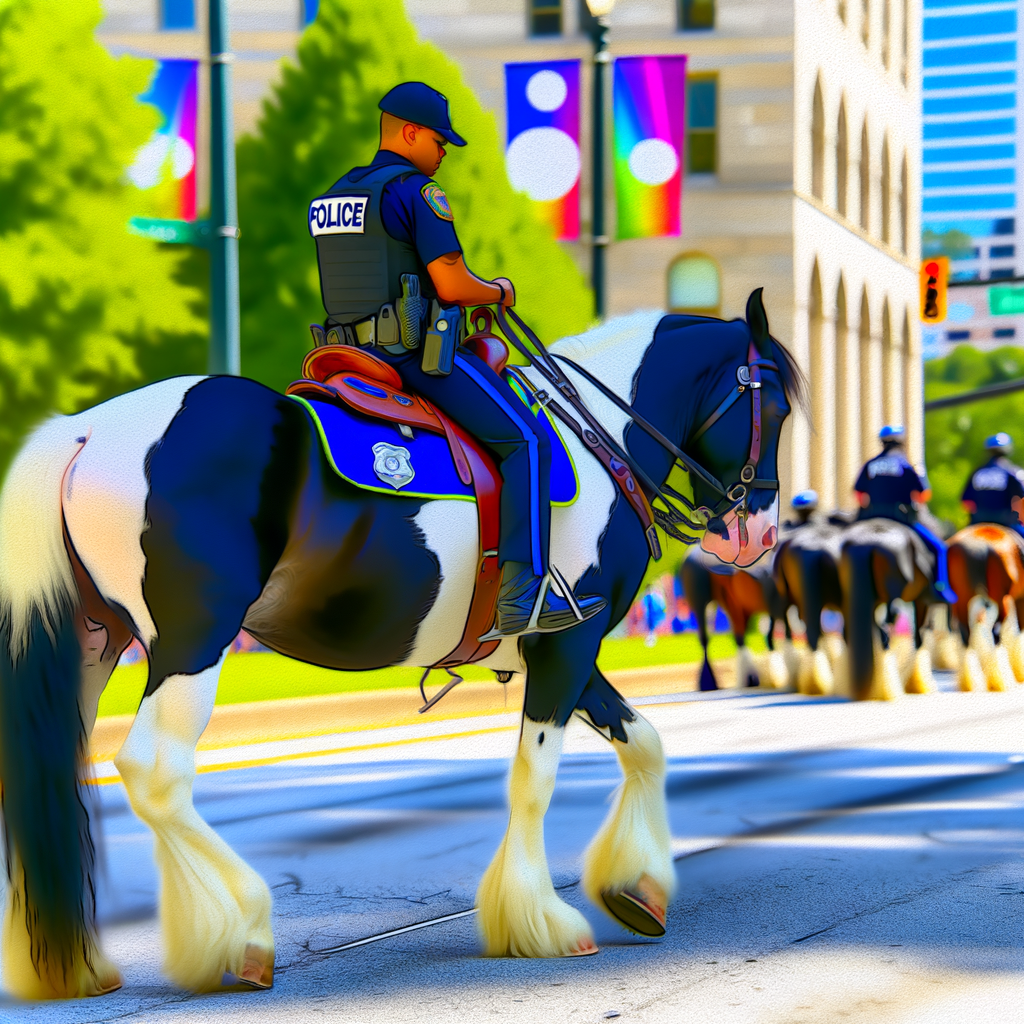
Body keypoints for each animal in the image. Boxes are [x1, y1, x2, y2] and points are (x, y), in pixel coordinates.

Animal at [0, 294, 798, 999]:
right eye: (779, 409)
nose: (757, 535)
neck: (595, 434)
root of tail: (85, 431)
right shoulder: (566, 644)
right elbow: (535, 780)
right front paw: (541, 919)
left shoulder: (563, 650)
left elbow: (646, 745)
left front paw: (637, 888)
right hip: (193, 639)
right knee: (155, 770)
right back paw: (240, 930)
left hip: (97, 643)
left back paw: (73, 966)